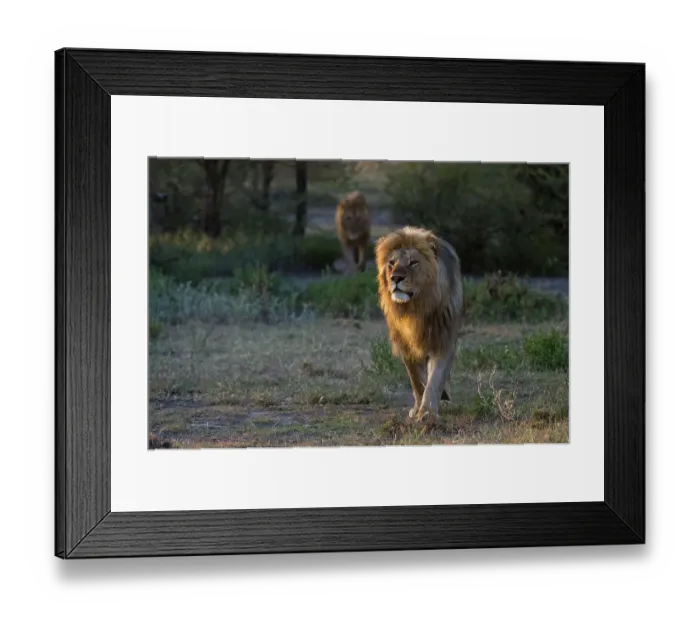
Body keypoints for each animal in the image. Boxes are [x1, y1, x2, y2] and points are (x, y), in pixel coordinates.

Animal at [375, 226, 464, 425]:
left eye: (413, 262)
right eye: (391, 263)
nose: (396, 278)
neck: (415, 308)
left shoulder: (443, 339)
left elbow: (435, 378)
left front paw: (428, 413)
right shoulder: (406, 344)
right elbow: (417, 380)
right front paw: (418, 409)